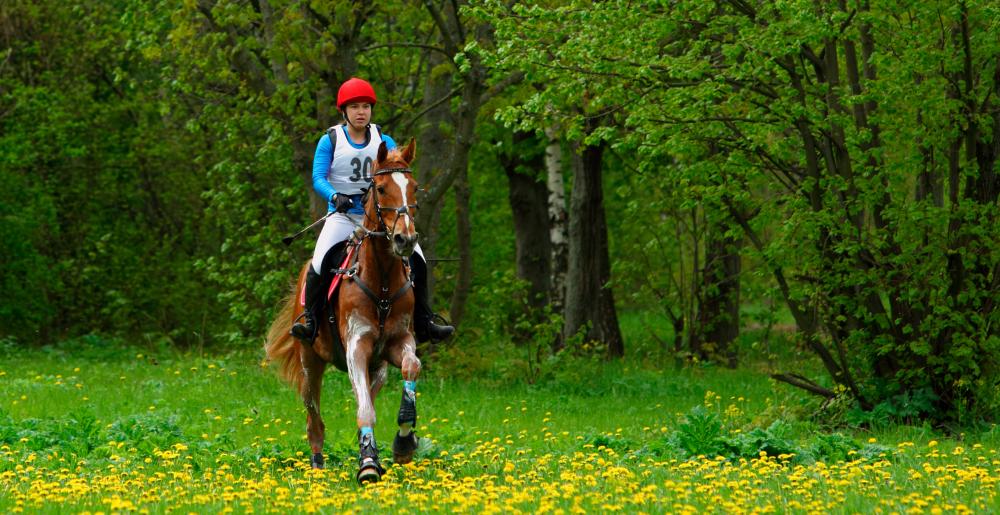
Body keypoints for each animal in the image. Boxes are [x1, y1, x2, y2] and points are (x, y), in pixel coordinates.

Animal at [266, 138, 422, 484]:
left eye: (414, 187)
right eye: (380, 188)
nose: (405, 239)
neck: (383, 282)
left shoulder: (397, 342)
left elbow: (411, 367)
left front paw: (403, 442)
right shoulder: (356, 346)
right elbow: (364, 410)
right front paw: (368, 466)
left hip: (377, 369)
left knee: (370, 396)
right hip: (310, 363)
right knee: (314, 419)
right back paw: (317, 465)